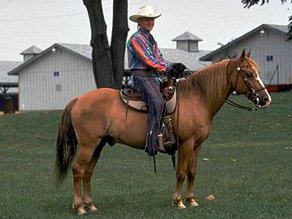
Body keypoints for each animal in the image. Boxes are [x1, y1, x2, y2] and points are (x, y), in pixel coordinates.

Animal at [54, 49, 272, 214]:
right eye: (248, 74)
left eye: (257, 71)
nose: (266, 99)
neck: (197, 99)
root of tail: (78, 100)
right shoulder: (186, 143)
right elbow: (181, 173)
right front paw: (179, 202)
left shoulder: (198, 145)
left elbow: (192, 172)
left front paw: (192, 200)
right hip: (88, 145)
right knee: (78, 170)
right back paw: (79, 207)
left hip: (98, 145)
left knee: (88, 172)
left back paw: (90, 205)